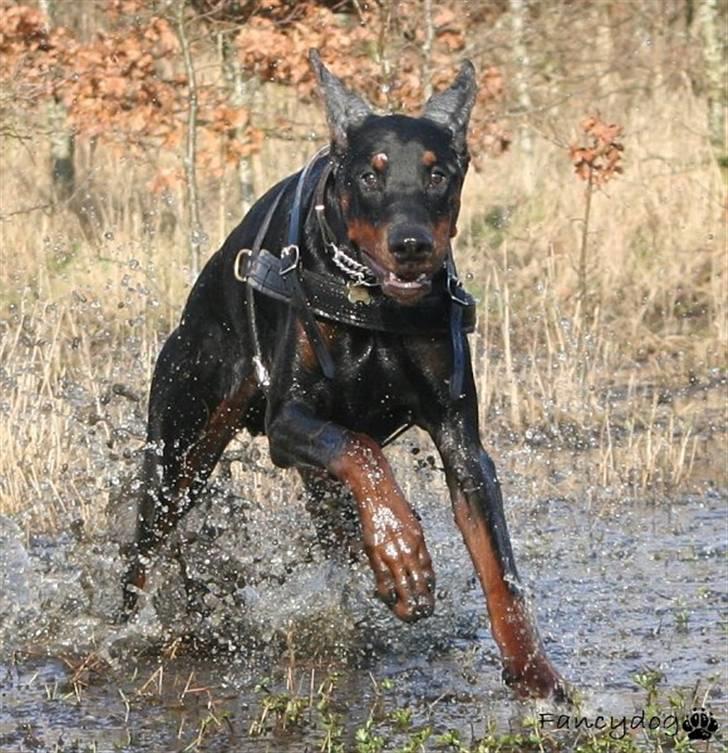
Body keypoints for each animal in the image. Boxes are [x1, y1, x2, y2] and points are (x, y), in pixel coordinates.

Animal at [123, 51, 568, 700]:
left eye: (438, 174)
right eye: (370, 175)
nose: (411, 245)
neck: (371, 299)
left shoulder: (463, 444)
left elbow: (500, 566)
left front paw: (533, 671)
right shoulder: (289, 421)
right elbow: (364, 453)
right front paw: (403, 555)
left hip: (312, 484)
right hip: (178, 452)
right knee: (142, 552)